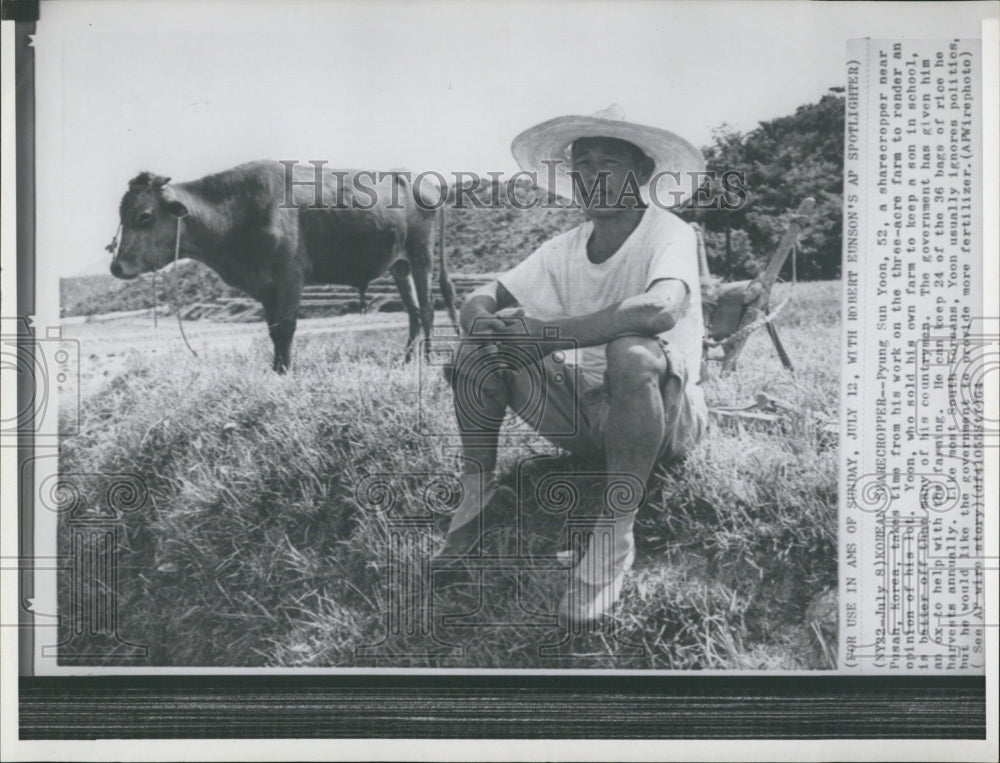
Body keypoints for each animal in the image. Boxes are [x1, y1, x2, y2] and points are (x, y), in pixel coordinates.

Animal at [113, 162, 460, 374]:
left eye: (144, 216)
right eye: (121, 214)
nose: (116, 266)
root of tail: (421, 181)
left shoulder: (291, 276)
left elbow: (287, 327)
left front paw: (286, 371)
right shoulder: (267, 286)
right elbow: (274, 330)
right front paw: (276, 369)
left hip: (421, 254)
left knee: (427, 309)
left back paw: (427, 359)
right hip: (399, 265)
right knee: (413, 312)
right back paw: (404, 360)